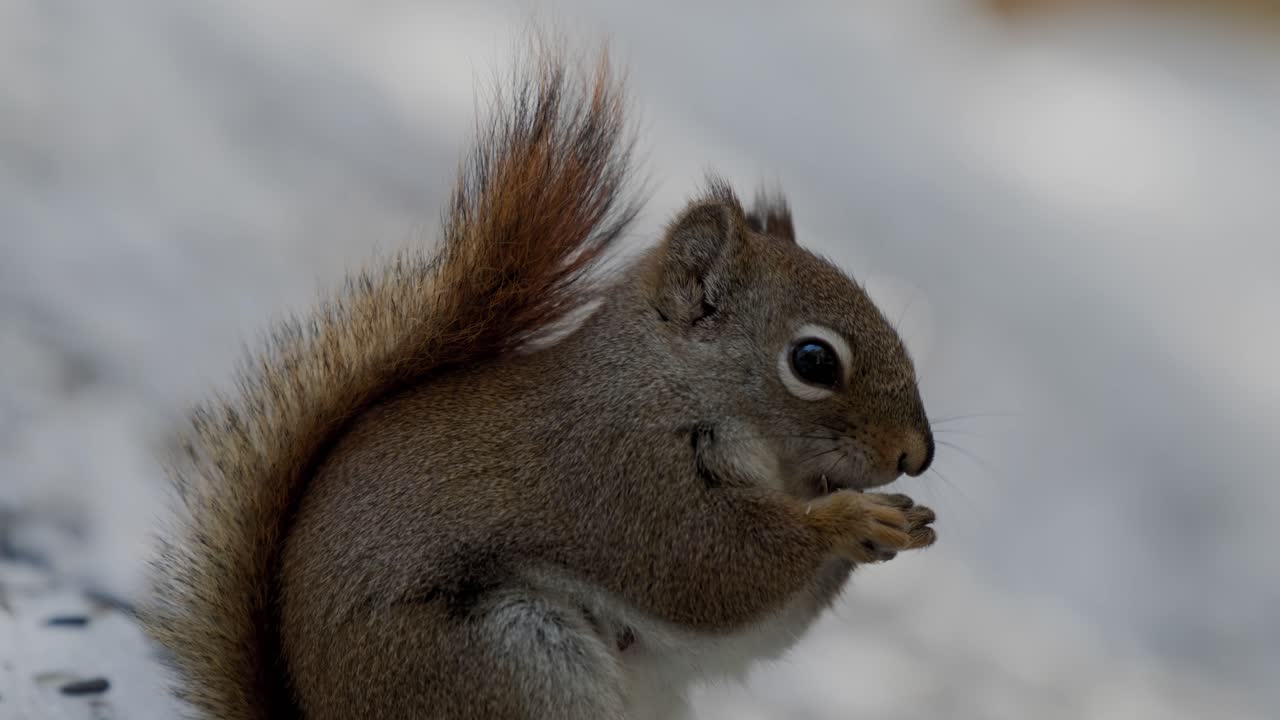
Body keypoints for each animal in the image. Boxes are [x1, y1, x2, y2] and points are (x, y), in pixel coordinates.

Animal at [142, 43, 938, 720]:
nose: (916, 455)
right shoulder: (619, 478)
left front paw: (900, 522)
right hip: (507, 661)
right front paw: (853, 520)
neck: (666, 386)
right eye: (813, 362)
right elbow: (714, 568)